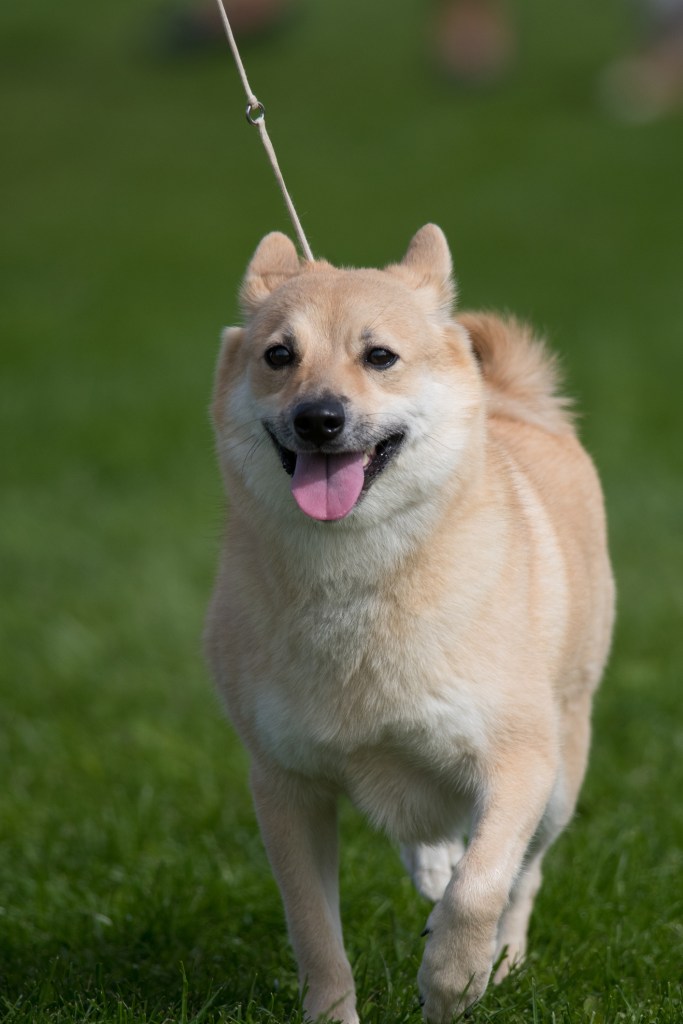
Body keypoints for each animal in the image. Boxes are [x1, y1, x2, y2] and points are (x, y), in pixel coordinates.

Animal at [205, 226, 618, 1024]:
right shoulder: (285, 786)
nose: (318, 418)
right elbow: (314, 931)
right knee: (430, 836)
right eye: (279, 355)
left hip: (560, 776)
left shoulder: (519, 762)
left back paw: (504, 959)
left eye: (379, 356)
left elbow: (483, 884)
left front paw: (454, 979)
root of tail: (516, 401)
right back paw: (433, 865)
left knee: (522, 873)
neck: (355, 577)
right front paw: (334, 1011)